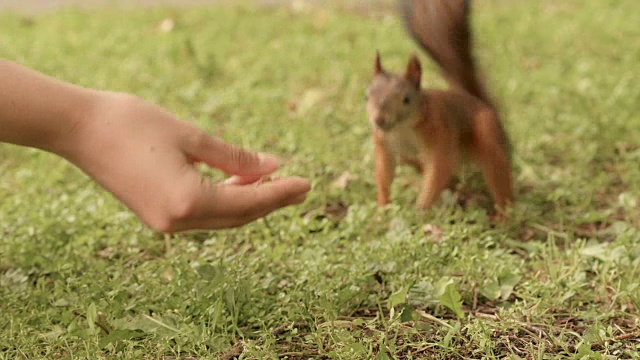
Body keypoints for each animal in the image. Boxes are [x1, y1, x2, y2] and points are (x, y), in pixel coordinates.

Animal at [364, 0, 516, 214]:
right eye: (366, 96)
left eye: (406, 99)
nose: (379, 120)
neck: (403, 128)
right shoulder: (383, 143)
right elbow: (384, 173)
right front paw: (383, 207)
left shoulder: (439, 133)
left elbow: (439, 168)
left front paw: (421, 208)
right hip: (410, 159)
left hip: (488, 135)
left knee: (499, 178)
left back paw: (503, 215)